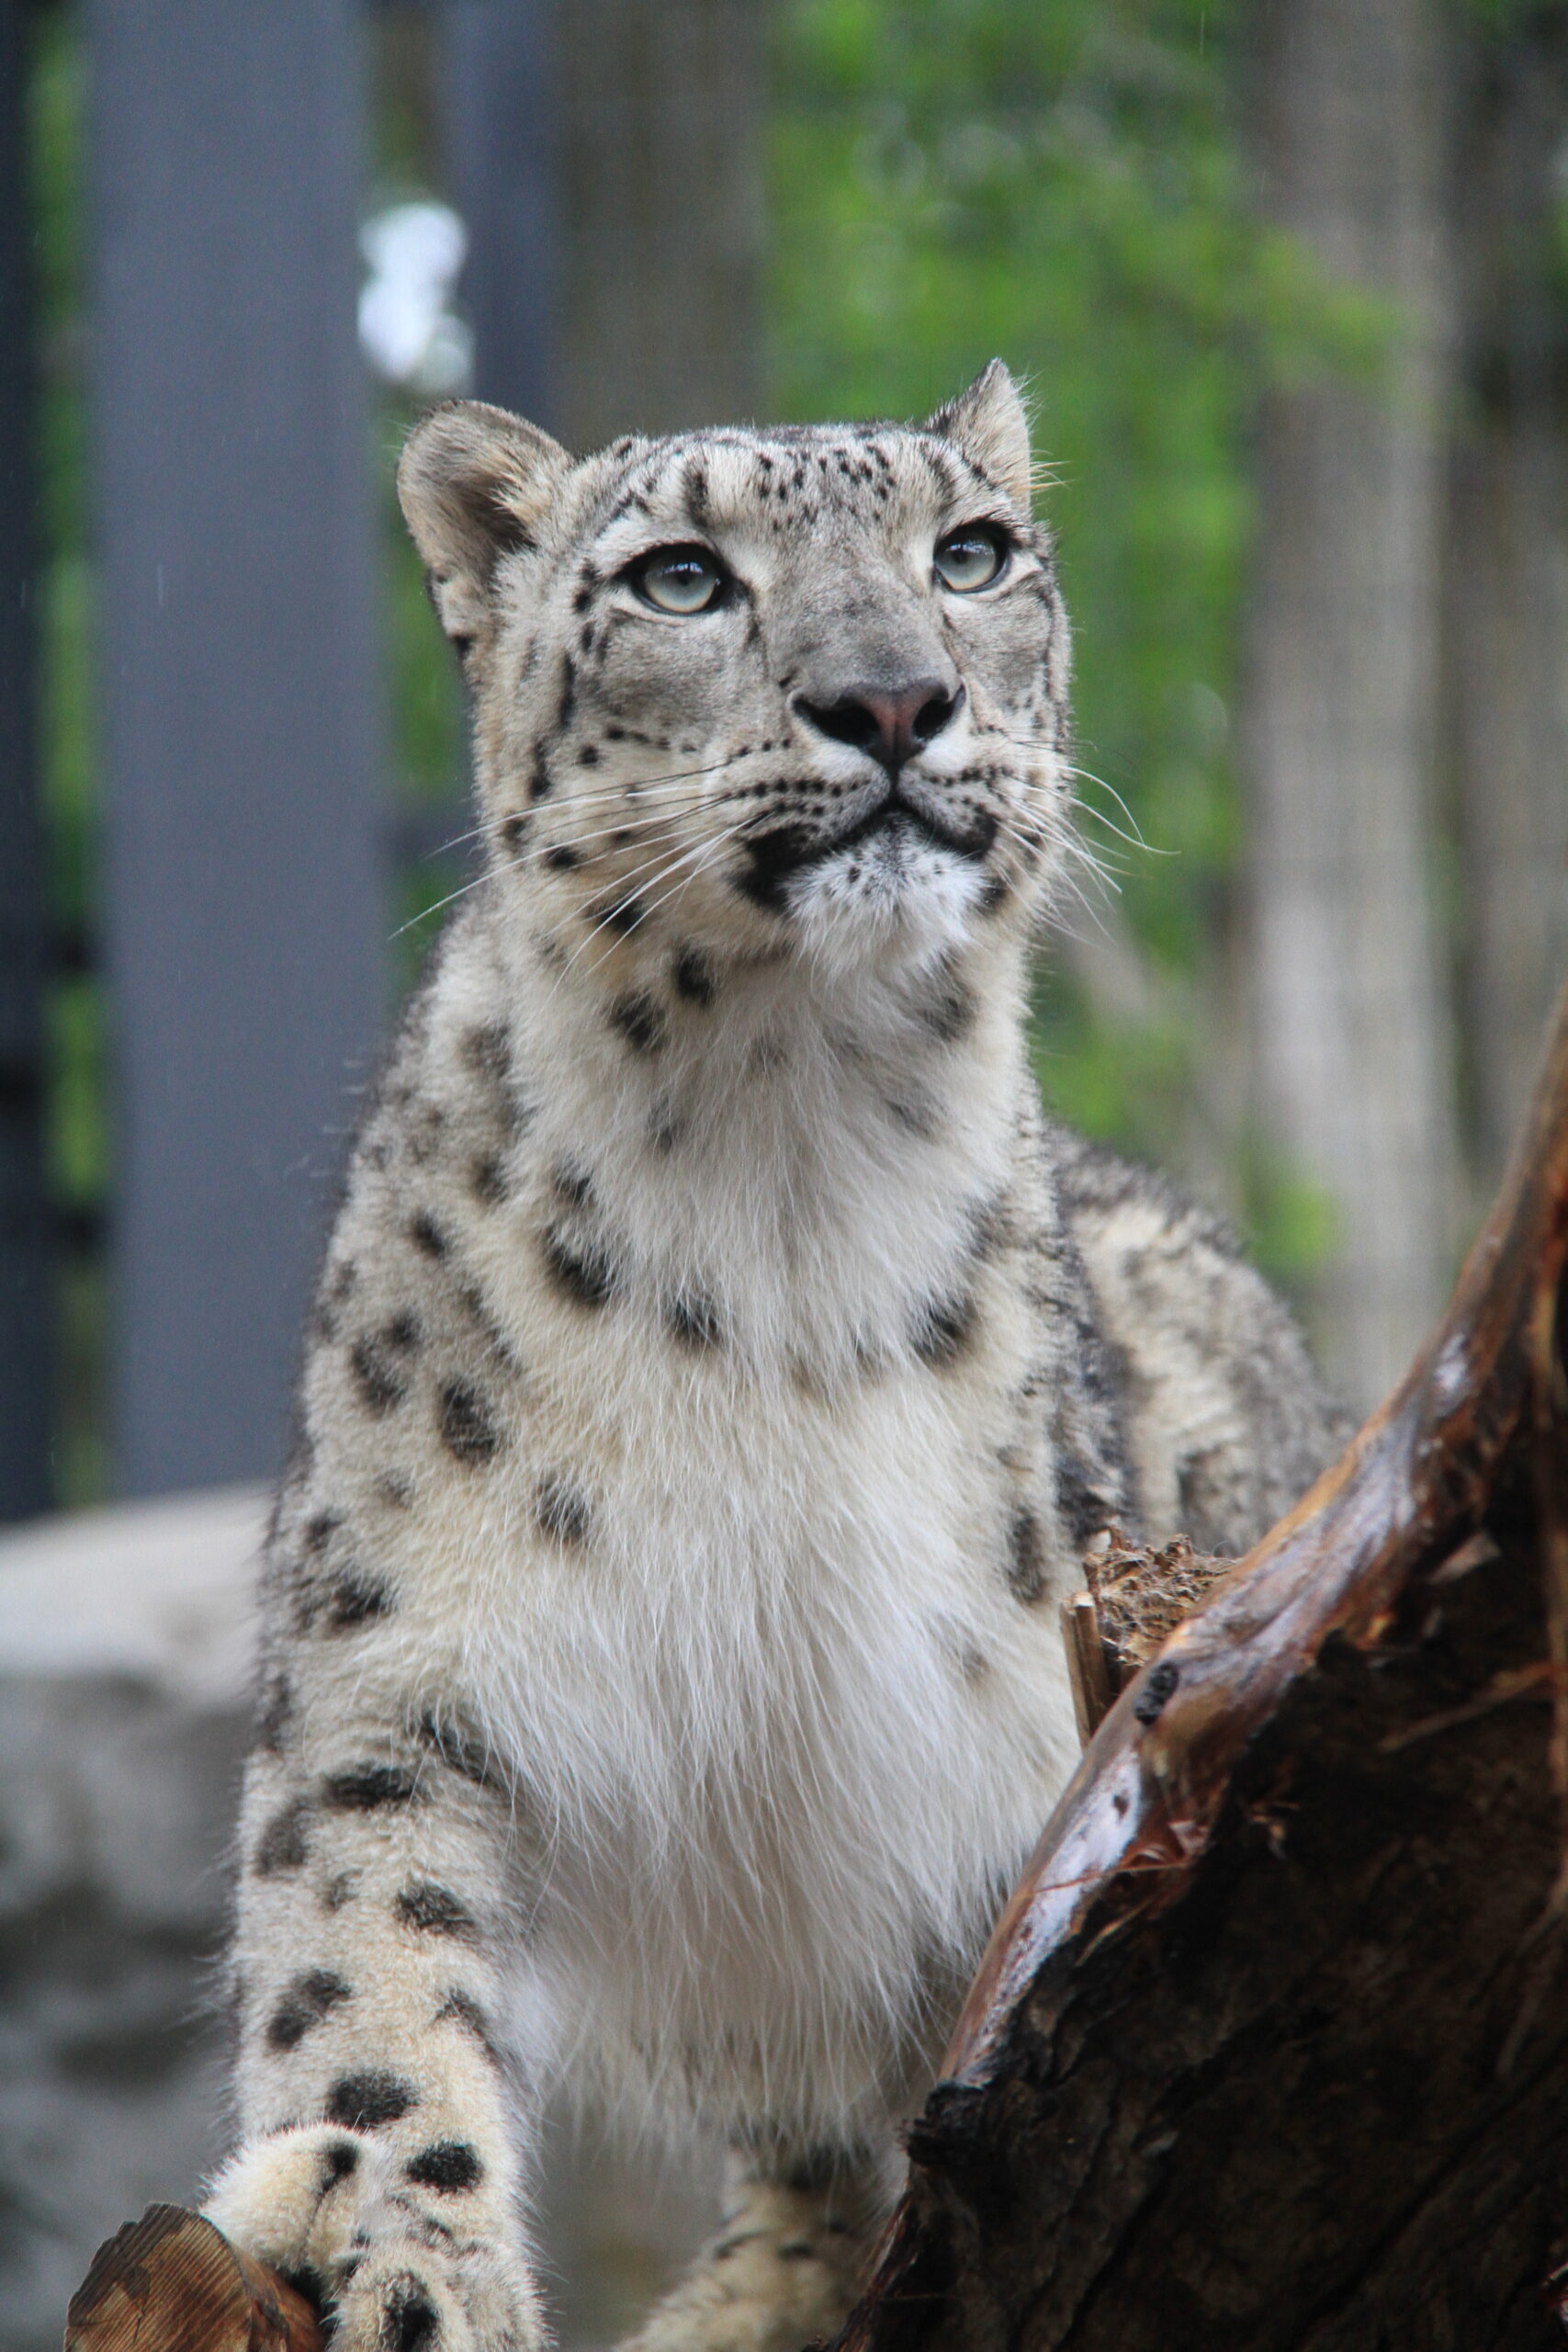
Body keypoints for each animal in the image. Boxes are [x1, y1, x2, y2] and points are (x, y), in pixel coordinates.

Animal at [202, 363, 1344, 2352]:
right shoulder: (393, 1662)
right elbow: (366, 1965)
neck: (787, 1160)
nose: (891, 697)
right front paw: (400, 2254)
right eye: (679, 577)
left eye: (969, 553)